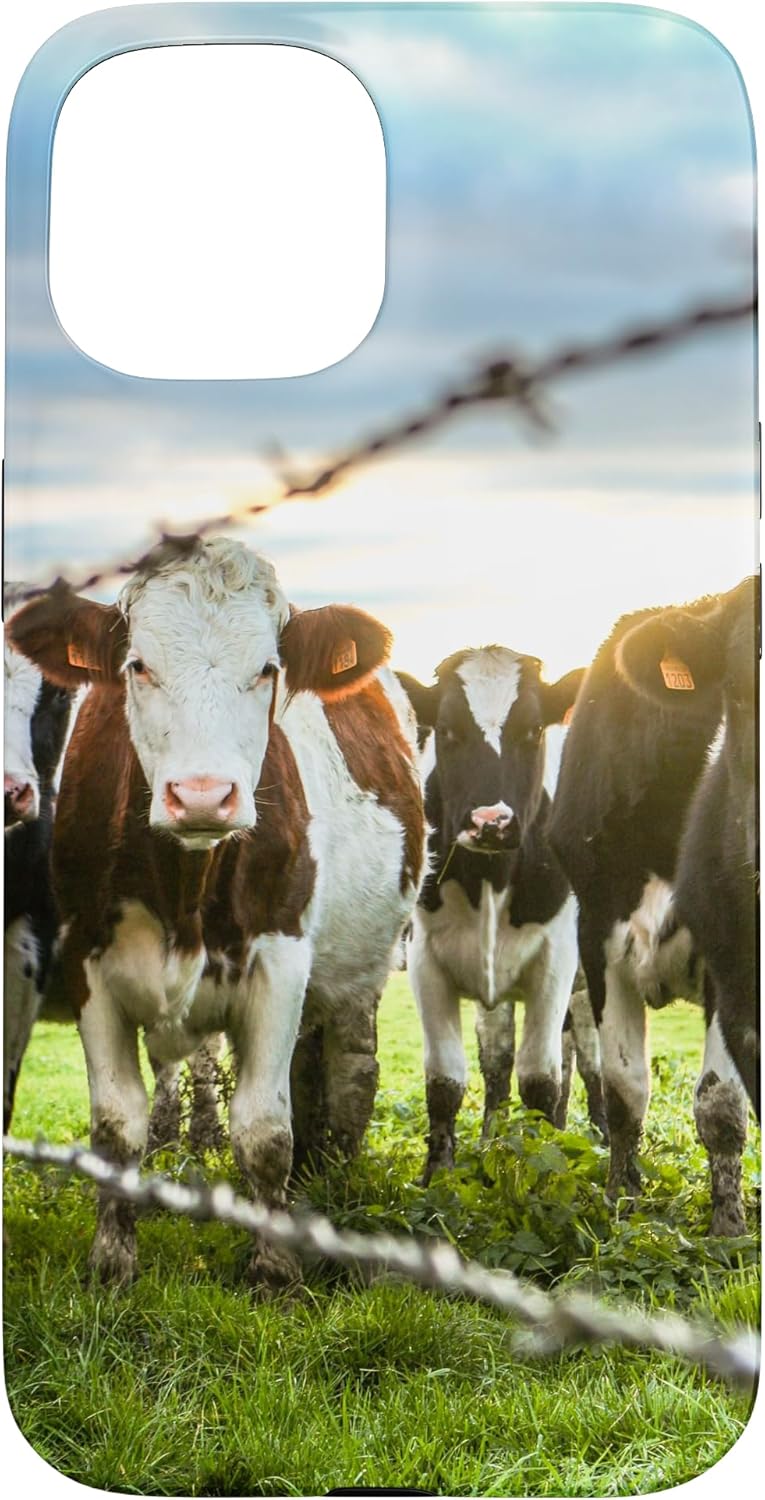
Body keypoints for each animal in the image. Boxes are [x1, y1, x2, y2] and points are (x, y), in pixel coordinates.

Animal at [7, 538, 426, 1288]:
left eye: (267, 669)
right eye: (138, 665)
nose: (203, 795)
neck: (183, 887)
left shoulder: (281, 962)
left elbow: (263, 1129)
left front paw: (276, 1270)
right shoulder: (86, 966)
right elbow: (116, 1125)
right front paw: (112, 1263)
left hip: (362, 969)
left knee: (351, 1071)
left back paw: (335, 1180)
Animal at [396, 646, 596, 1183]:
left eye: (534, 729)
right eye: (446, 729)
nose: (492, 822)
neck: (489, 878)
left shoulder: (556, 960)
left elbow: (541, 1079)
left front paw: (543, 1170)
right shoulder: (424, 959)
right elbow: (446, 1078)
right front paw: (439, 1173)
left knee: (588, 1063)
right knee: (499, 1059)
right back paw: (493, 1142)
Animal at [548, 577, 756, 1235]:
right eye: (740, 688)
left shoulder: (730, 961)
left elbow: (721, 1103)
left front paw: (728, 1229)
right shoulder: (599, 934)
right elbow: (624, 1090)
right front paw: (623, 1202)